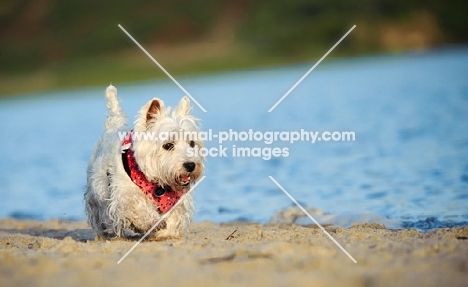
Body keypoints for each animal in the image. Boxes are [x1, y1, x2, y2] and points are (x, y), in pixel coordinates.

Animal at [83, 86, 203, 241]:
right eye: (168, 145)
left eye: (192, 143)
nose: (190, 165)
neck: (157, 184)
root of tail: (113, 125)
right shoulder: (125, 196)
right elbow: (138, 209)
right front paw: (152, 223)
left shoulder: (177, 201)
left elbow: (174, 217)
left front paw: (164, 232)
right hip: (96, 195)